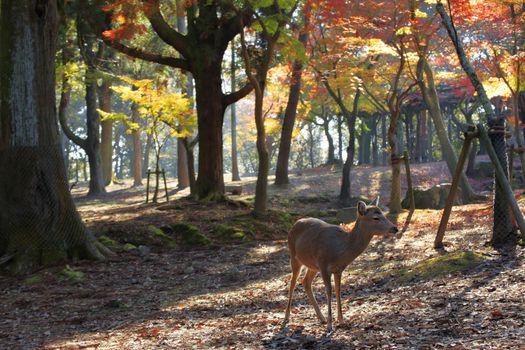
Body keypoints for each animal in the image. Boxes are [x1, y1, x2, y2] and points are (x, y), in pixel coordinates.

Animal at [282, 198, 398, 332]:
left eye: (383, 214)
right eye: (375, 218)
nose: (395, 228)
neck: (340, 251)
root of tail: (295, 223)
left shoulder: (338, 269)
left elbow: (338, 290)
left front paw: (341, 320)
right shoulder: (323, 264)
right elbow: (329, 291)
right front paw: (330, 325)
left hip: (312, 265)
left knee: (305, 282)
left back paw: (321, 317)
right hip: (294, 256)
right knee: (292, 282)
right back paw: (286, 318)